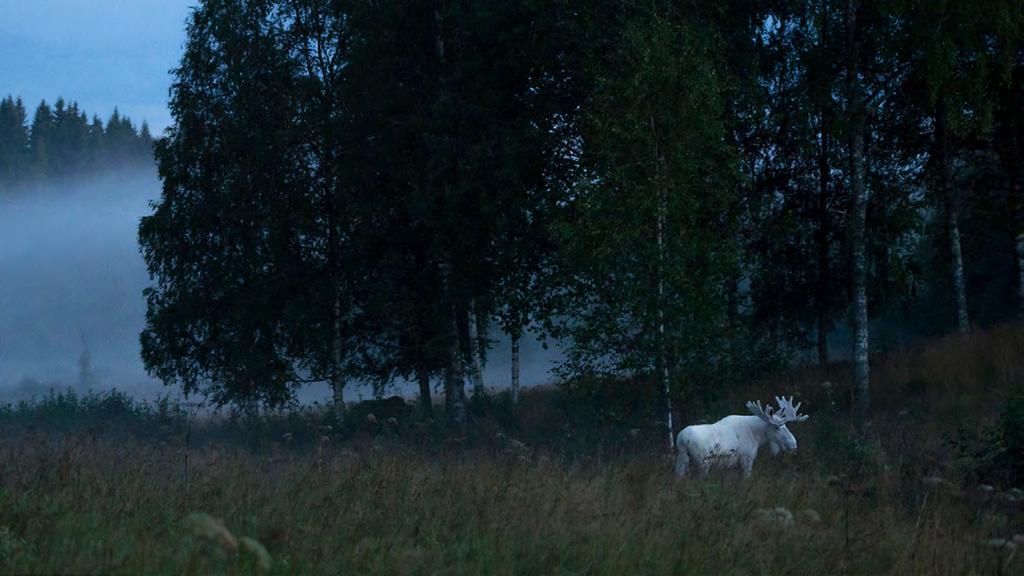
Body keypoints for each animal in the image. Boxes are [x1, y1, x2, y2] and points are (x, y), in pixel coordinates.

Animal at [675, 393, 811, 475]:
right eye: (777, 427)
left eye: (786, 426)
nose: (793, 444)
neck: (758, 438)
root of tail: (683, 439)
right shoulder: (747, 459)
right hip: (703, 463)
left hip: (682, 459)